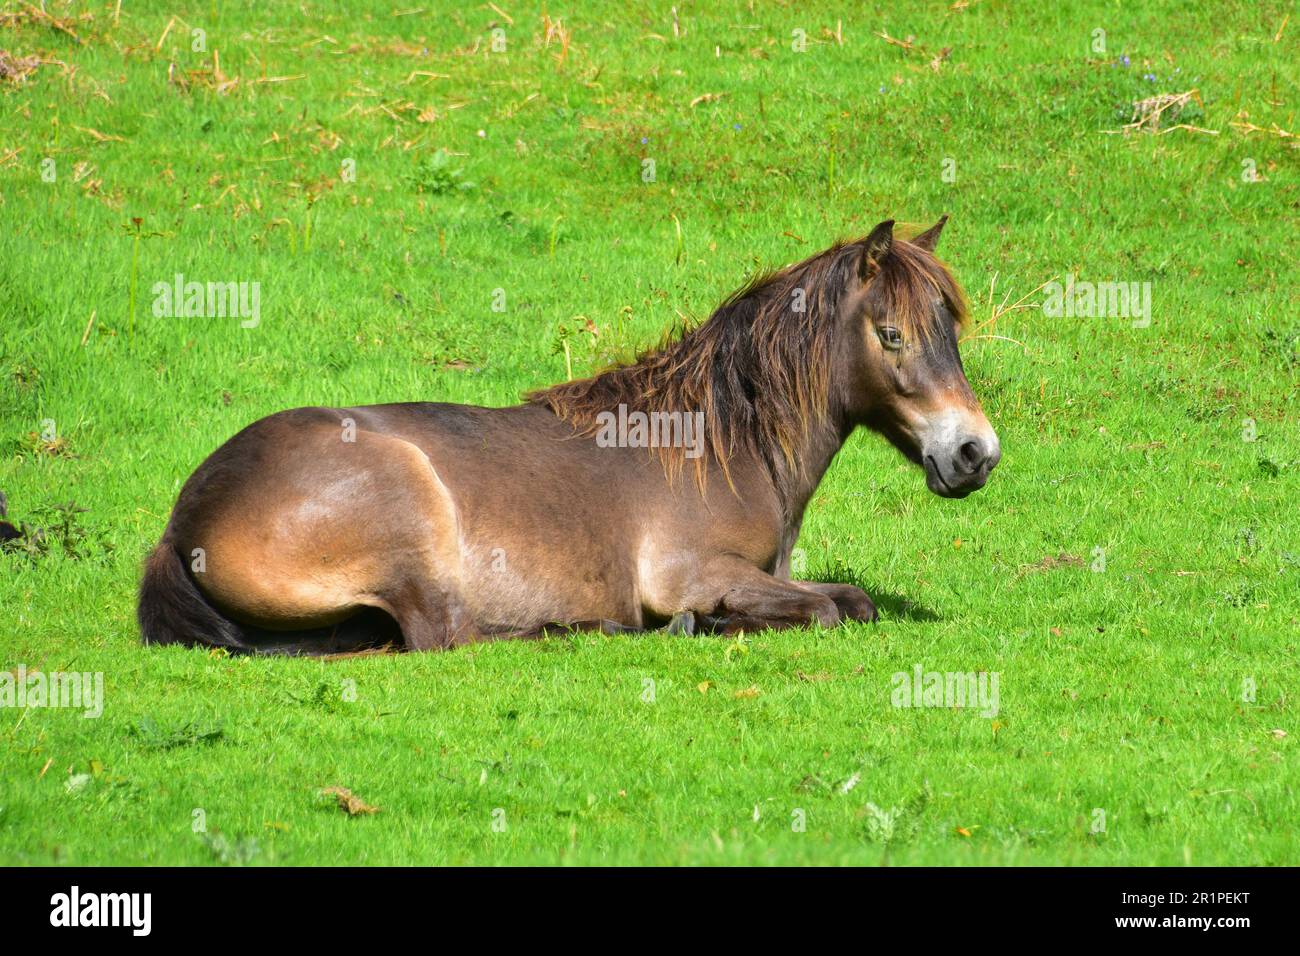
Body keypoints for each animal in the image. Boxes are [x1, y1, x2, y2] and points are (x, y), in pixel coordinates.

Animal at [137, 217, 998, 655]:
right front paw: (708, 620)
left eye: (949, 331)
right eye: (890, 335)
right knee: (447, 635)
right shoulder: (693, 569)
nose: (975, 454)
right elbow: (836, 608)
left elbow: (843, 600)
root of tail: (181, 525)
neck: (716, 447)